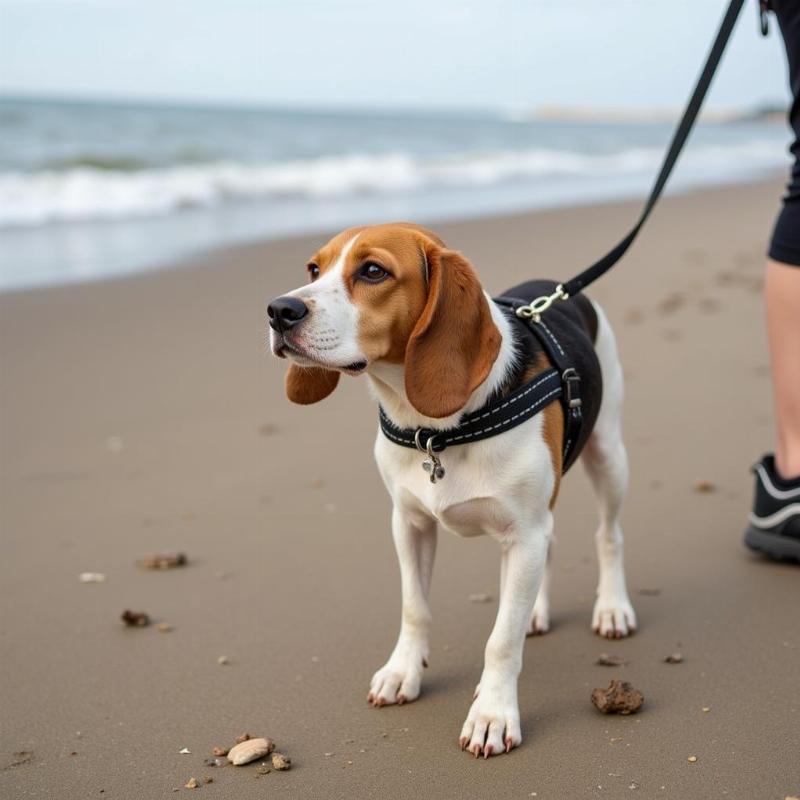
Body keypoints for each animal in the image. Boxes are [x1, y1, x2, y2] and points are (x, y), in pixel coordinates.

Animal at [268, 223, 636, 756]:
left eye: (373, 271)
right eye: (314, 270)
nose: (279, 311)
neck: (434, 430)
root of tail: (559, 287)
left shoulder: (524, 534)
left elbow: (500, 642)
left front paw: (492, 714)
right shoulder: (410, 524)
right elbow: (414, 608)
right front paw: (402, 672)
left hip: (607, 456)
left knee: (608, 536)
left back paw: (611, 608)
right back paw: (535, 611)